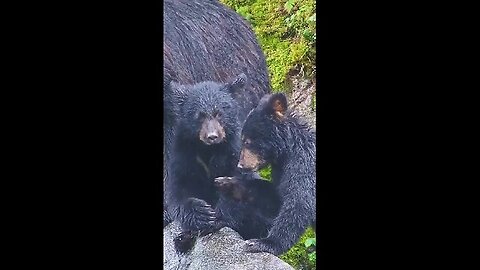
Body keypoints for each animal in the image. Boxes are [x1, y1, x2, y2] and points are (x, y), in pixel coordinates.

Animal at [235, 93, 316, 255]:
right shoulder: (280, 170)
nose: (240, 165)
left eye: (247, 141)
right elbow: (277, 196)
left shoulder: (305, 164)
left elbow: (299, 202)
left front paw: (262, 242)